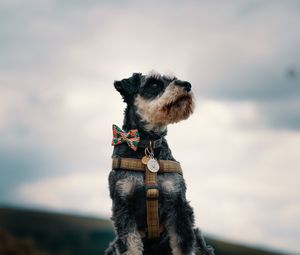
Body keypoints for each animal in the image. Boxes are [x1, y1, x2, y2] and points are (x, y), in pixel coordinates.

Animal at [105, 71, 213, 255]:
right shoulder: (123, 205)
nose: (187, 85)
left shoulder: (178, 204)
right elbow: (130, 244)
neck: (148, 146)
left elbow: (183, 244)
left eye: (172, 79)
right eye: (154, 84)